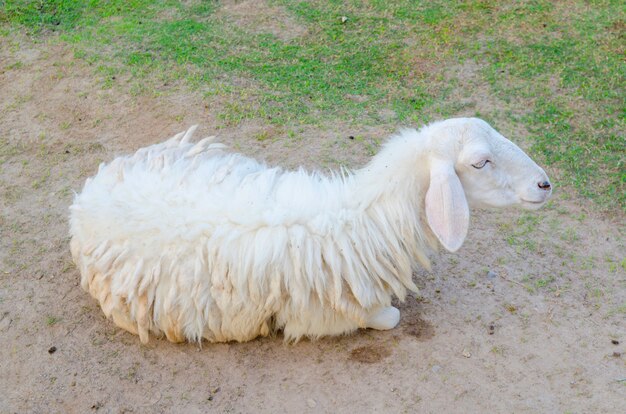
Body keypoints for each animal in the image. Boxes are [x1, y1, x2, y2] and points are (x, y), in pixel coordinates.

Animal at [69, 119, 552, 342]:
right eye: (480, 162)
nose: (546, 184)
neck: (365, 221)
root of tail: (82, 200)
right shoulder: (338, 315)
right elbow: (390, 317)